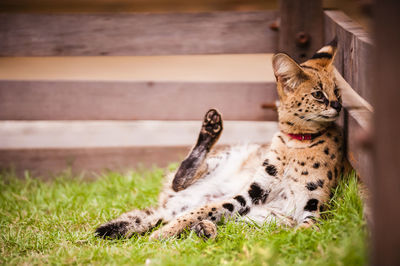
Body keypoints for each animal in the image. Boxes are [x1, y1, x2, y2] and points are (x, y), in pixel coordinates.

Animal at [95, 40, 342, 241]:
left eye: (338, 92)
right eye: (318, 94)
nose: (338, 106)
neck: (296, 142)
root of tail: (166, 207)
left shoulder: (311, 208)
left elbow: (305, 231)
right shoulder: (250, 193)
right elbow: (205, 210)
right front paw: (164, 233)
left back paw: (205, 230)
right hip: (221, 160)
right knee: (180, 182)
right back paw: (210, 129)